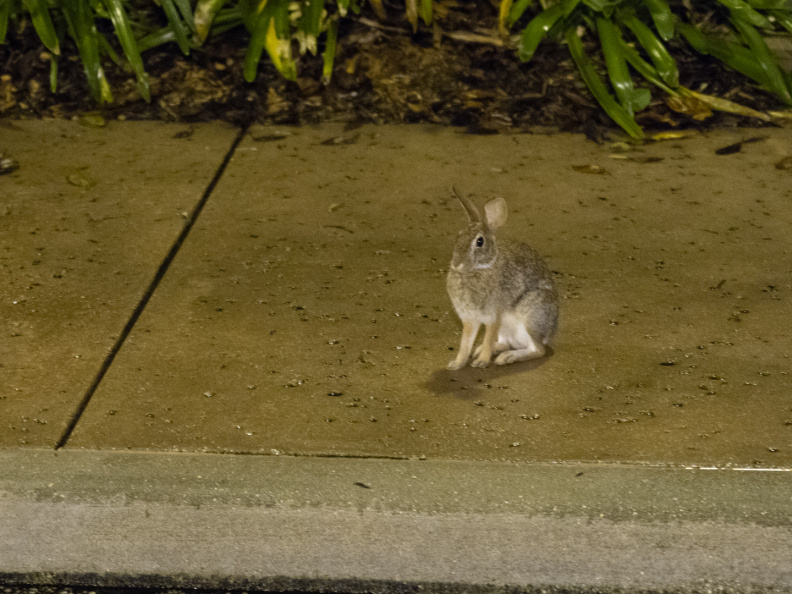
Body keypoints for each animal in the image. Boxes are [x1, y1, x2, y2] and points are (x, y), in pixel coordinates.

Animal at [446, 187, 558, 370]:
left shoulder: (494, 315)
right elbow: (465, 343)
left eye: (480, 242)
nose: (456, 264)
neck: (478, 269)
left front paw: (482, 362)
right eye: (459, 235)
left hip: (530, 317)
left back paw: (507, 357)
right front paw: (457, 363)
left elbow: (488, 337)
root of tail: (550, 332)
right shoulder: (470, 318)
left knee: (538, 349)